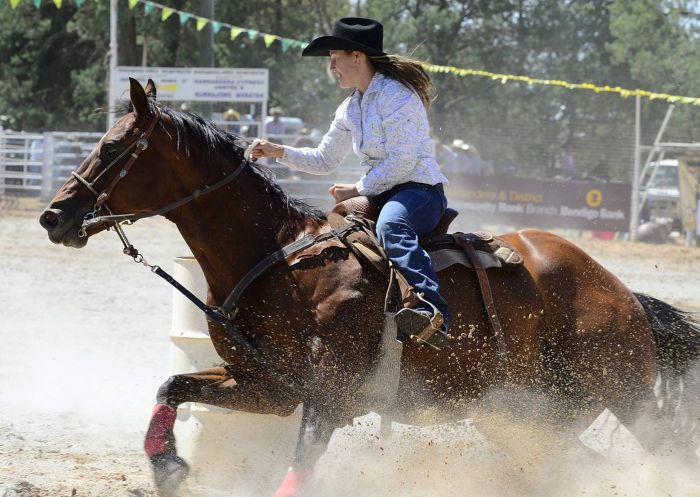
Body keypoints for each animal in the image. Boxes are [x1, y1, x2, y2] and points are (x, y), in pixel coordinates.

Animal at [40, 78, 700, 497]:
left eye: (116, 146)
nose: (53, 215)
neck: (281, 263)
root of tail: (617, 288)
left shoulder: (327, 396)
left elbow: (301, 465)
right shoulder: (267, 386)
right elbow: (171, 386)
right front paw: (170, 469)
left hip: (624, 391)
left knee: (667, 448)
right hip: (522, 411)